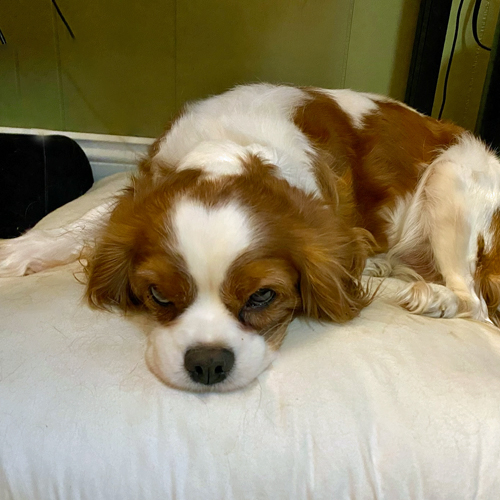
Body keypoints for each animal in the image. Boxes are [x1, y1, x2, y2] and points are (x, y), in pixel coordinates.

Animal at [2, 83, 500, 392]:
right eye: (159, 295)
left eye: (262, 297)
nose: (207, 362)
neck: (232, 146)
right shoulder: (140, 193)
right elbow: (93, 220)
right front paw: (23, 248)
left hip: (450, 180)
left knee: (474, 302)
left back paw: (431, 296)